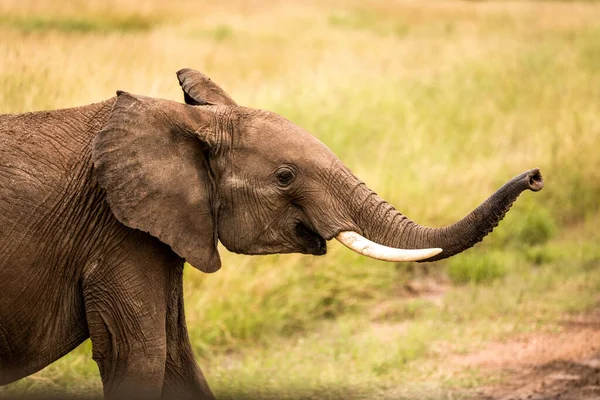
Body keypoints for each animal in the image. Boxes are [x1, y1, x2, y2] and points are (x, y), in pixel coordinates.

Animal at [0, 67, 544, 398]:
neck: (185, 121)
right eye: (285, 177)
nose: (536, 176)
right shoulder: (117, 230)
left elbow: (176, 362)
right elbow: (140, 359)